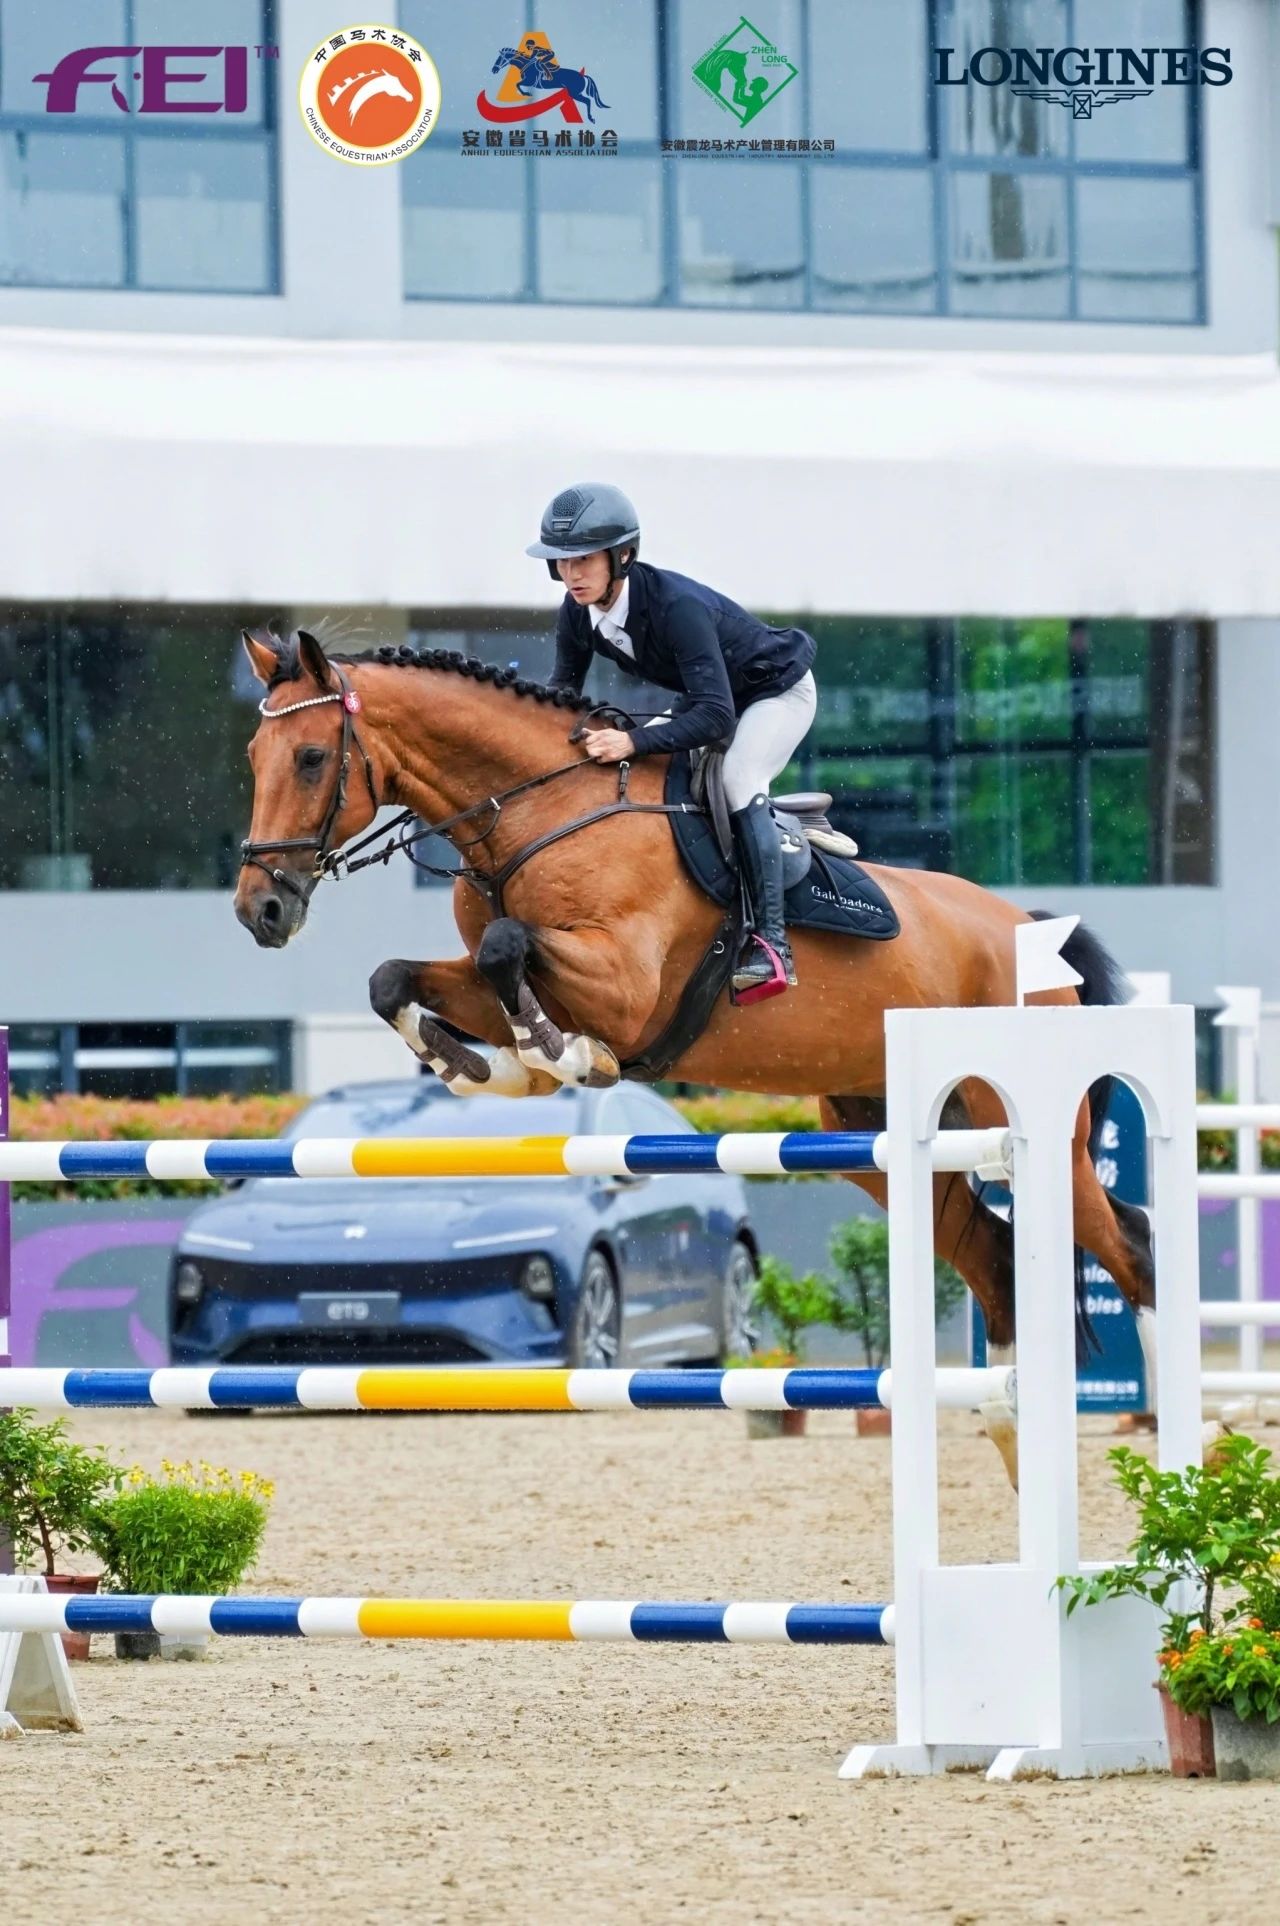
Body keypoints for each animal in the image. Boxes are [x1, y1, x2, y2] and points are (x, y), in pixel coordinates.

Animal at [234, 625, 1160, 1481]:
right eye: (252, 756)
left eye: (311, 758)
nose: (260, 911)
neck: (536, 815)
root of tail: (1029, 928)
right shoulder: (502, 976)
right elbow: (399, 978)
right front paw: (487, 1066)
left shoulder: (624, 986)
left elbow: (507, 950)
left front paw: (562, 1056)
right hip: (891, 1138)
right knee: (998, 1263)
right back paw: (1013, 1443)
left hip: (1035, 1134)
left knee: (1133, 1245)